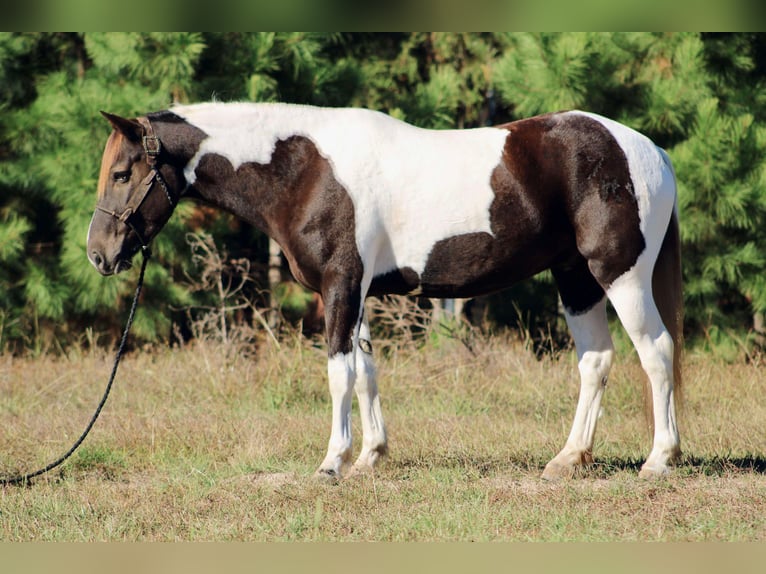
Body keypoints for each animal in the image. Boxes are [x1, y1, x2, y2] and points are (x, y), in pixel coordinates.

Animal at [87, 102, 683, 480]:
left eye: (121, 174)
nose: (98, 254)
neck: (307, 169)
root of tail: (650, 150)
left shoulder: (340, 286)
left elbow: (339, 375)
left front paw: (332, 462)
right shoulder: (356, 294)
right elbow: (366, 373)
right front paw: (371, 456)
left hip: (620, 274)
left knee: (656, 353)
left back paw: (659, 460)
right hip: (576, 277)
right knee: (596, 361)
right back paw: (568, 459)